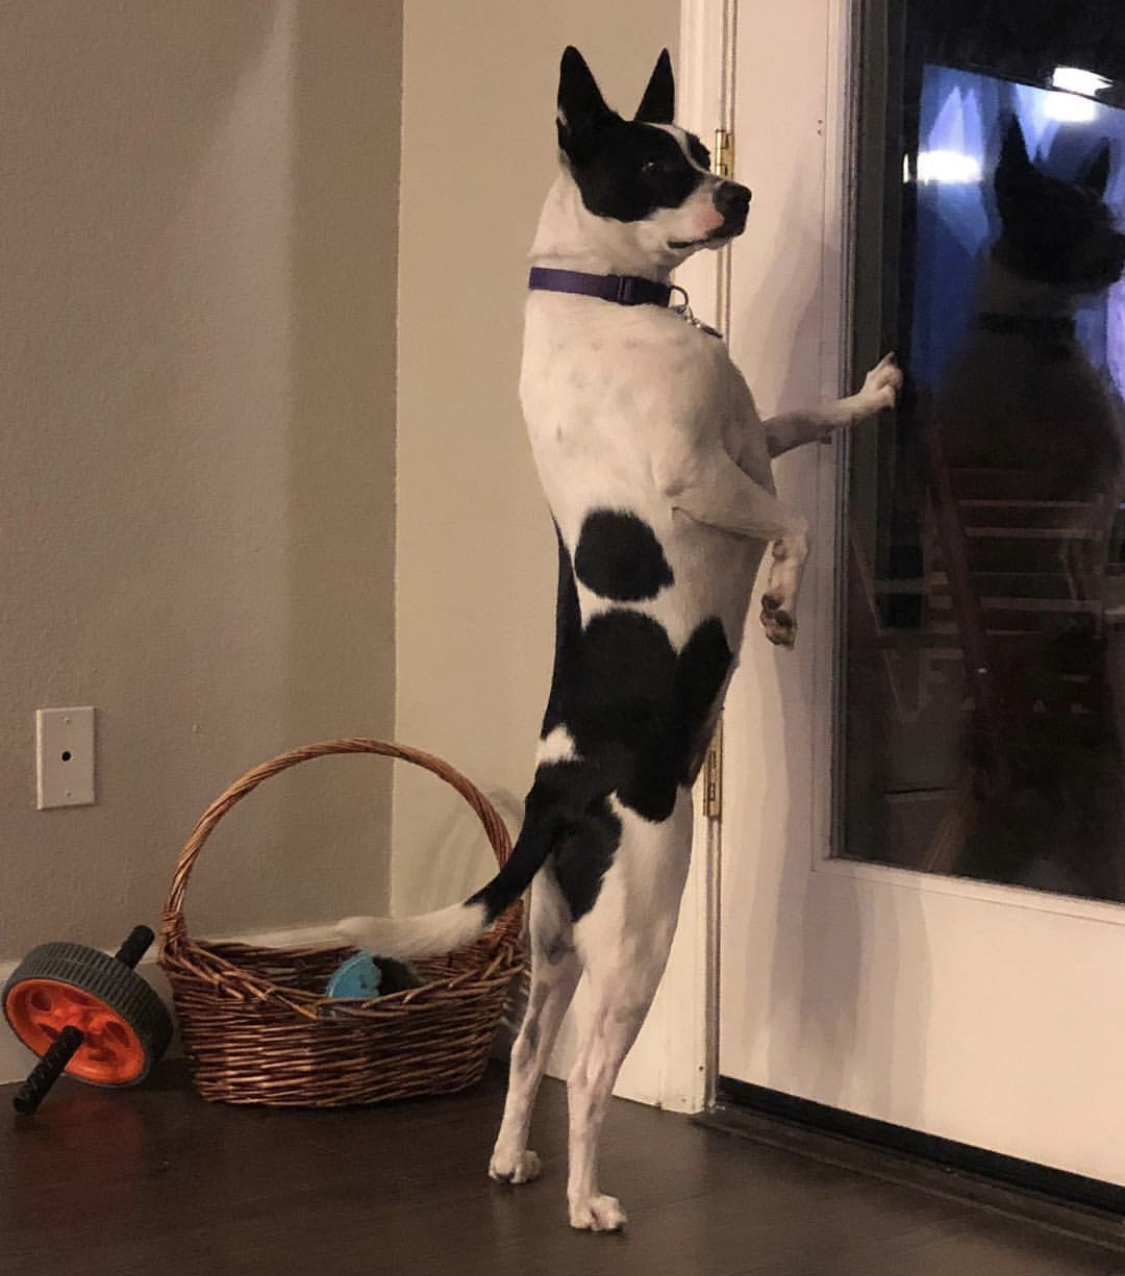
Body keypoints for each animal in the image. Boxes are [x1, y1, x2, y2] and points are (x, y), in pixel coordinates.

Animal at [336, 44, 897, 1230]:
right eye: (653, 163)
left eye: (694, 148)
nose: (738, 193)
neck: (609, 297)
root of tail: (557, 793)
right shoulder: (702, 480)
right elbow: (797, 521)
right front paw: (781, 604)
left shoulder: (751, 438)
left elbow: (809, 419)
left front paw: (872, 394)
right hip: (640, 934)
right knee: (589, 1077)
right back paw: (587, 1200)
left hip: (554, 945)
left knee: (527, 1053)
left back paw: (512, 1159)